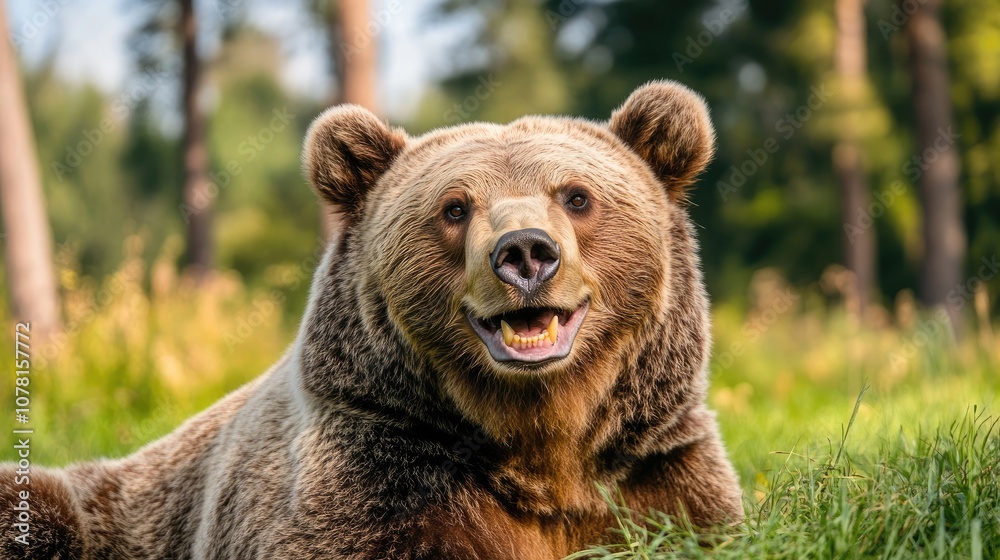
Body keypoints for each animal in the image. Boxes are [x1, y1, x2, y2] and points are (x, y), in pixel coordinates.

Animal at [0, 80, 743, 559]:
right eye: (454, 207)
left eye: (577, 196)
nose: (526, 253)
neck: (540, 446)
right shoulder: (371, 476)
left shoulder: (656, 472)